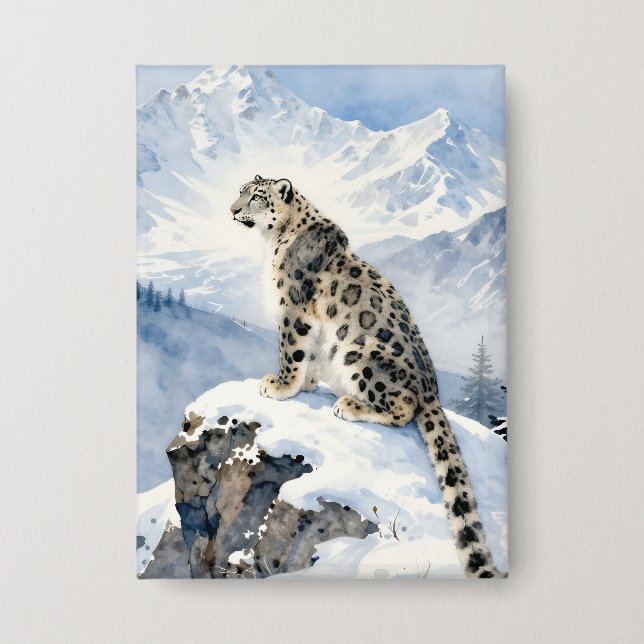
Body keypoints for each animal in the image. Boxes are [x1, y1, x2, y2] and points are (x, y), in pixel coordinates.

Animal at [229, 175, 505, 578]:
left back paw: (350, 404)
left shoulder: (294, 308)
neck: (273, 241)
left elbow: (291, 350)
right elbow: (310, 354)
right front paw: (306, 382)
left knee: (403, 407)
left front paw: (281, 385)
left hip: (361, 354)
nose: (232, 210)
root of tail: (431, 389)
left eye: (257, 197)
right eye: (241, 192)